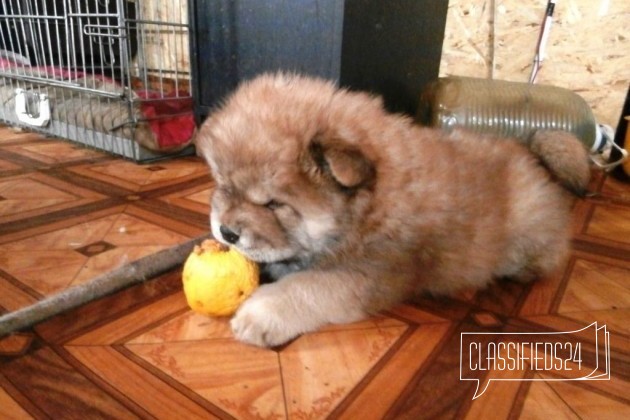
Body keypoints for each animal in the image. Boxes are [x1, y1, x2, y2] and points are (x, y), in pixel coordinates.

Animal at [196, 73, 592, 348]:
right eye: (223, 185)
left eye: (273, 204)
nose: (227, 232)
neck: (368, 205)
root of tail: (533, 157)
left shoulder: (367, 273)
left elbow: (307, 286)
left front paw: (261, 313)